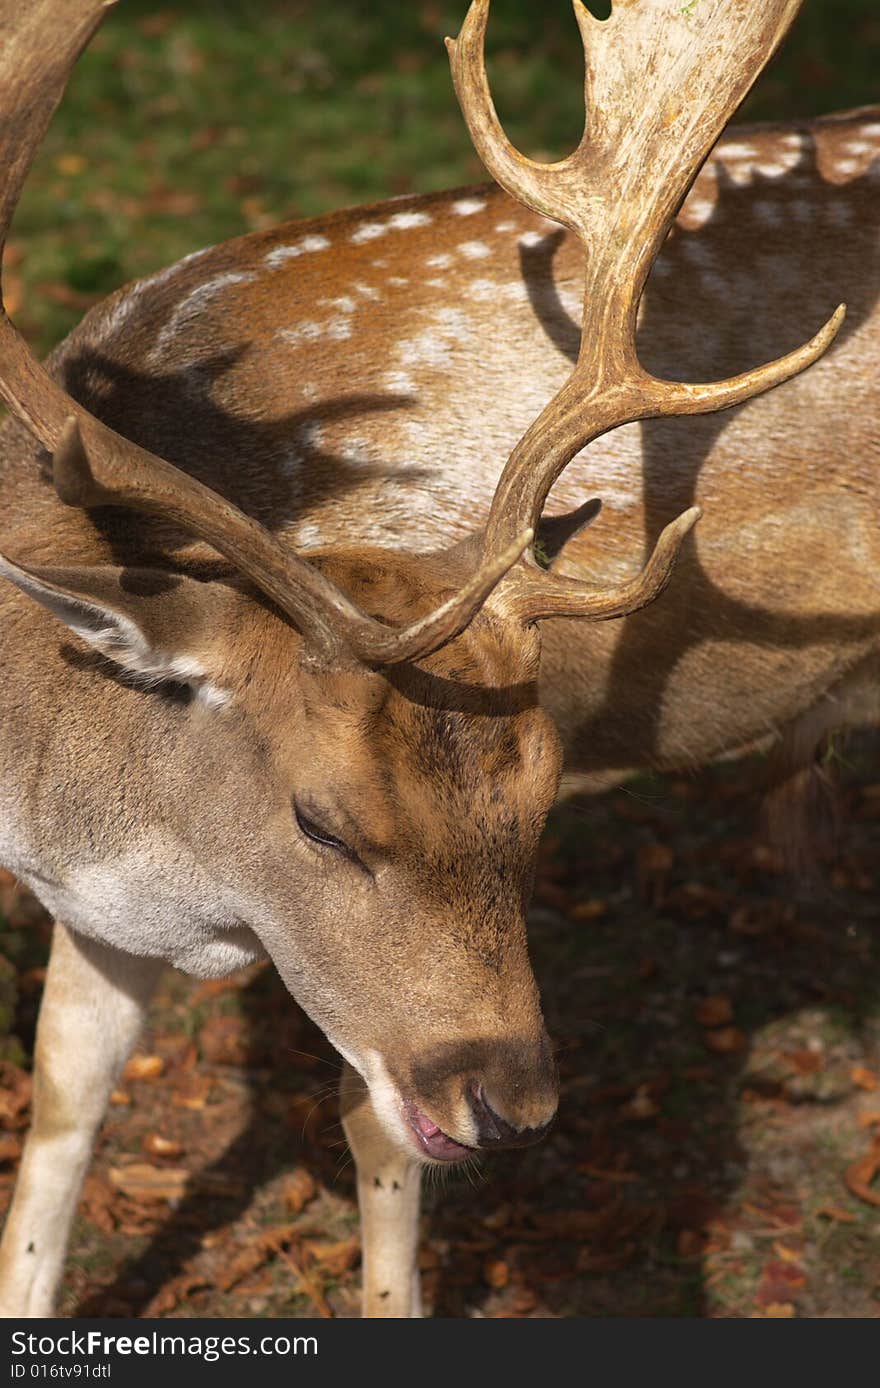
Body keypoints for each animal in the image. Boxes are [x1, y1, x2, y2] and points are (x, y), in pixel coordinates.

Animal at [0, 0, 866, 1321]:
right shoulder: (95, 909)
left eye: (545, 798)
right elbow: (58, 1110)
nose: (514, 1104)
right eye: (320, 821)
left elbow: (375, 1140)